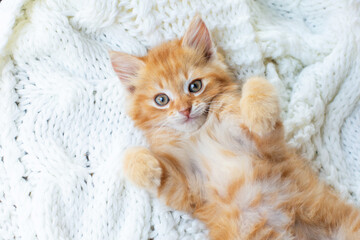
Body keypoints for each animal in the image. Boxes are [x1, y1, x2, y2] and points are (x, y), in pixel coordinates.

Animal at [109, 15, 360, 239]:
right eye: (161, 100)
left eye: (195, 86)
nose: (185, 110)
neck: (201, 134)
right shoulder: (190, 190)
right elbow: (152, 171)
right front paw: (143, 166)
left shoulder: (269, 148)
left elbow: (255, 86)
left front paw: (258, 110)